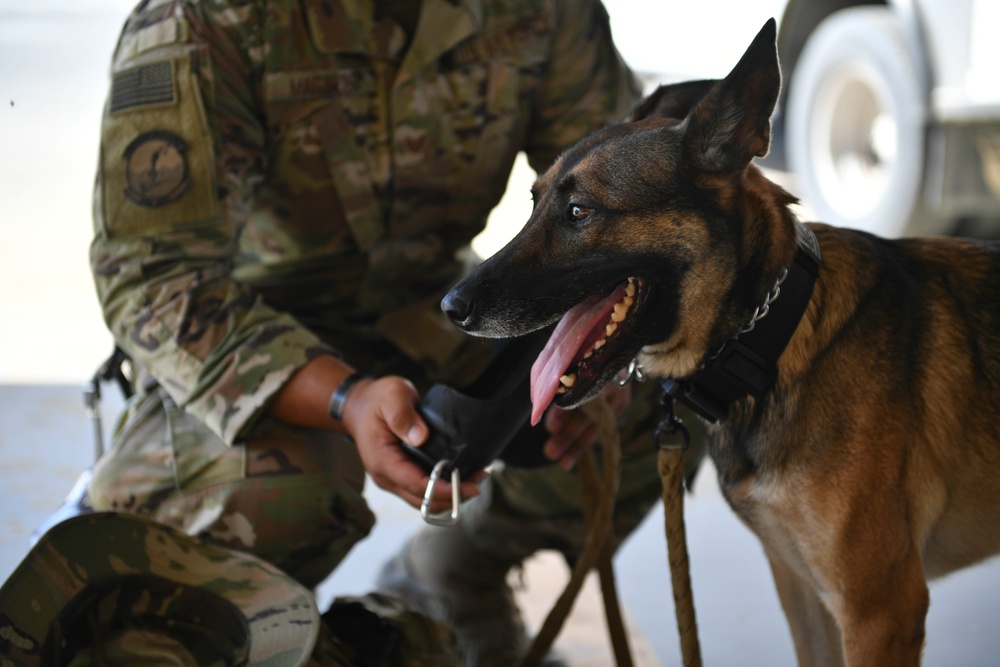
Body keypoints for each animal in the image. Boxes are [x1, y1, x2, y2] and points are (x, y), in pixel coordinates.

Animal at [442, 18, 1000, 667]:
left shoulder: (881, 611)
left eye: (579, 211)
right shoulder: (803, 591)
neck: (772, 339)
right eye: (532, 203)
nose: (451, 307)